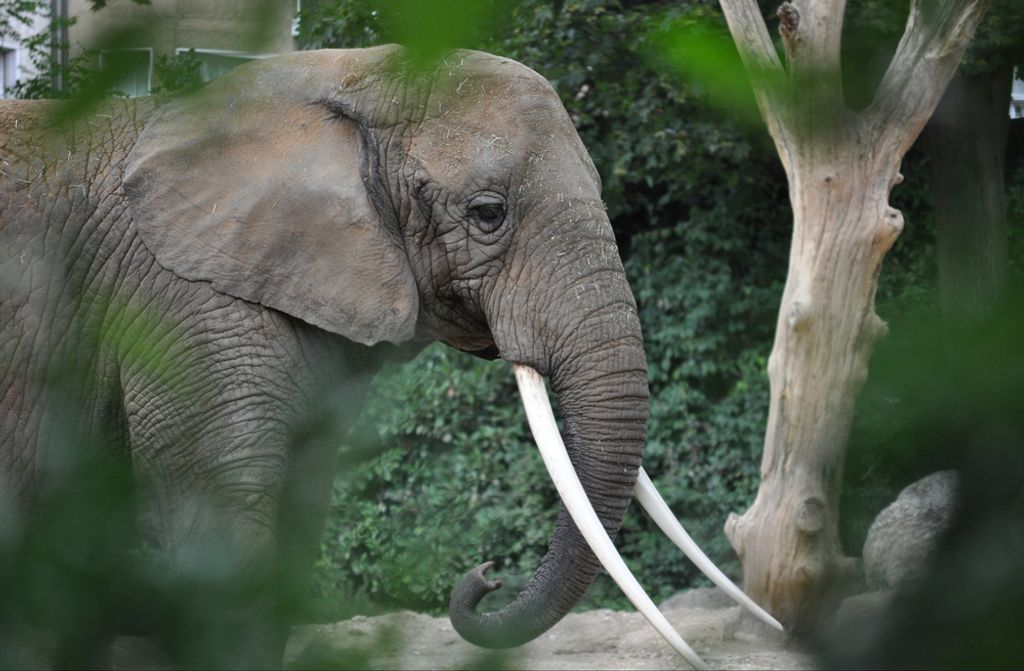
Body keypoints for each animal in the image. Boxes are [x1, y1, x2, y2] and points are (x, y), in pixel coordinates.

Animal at [0, 47, 777, 668]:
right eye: (488, 213)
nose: (485, 574)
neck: (343, 77)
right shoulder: (177, 301)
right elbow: (214, 521)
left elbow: (297, 512)